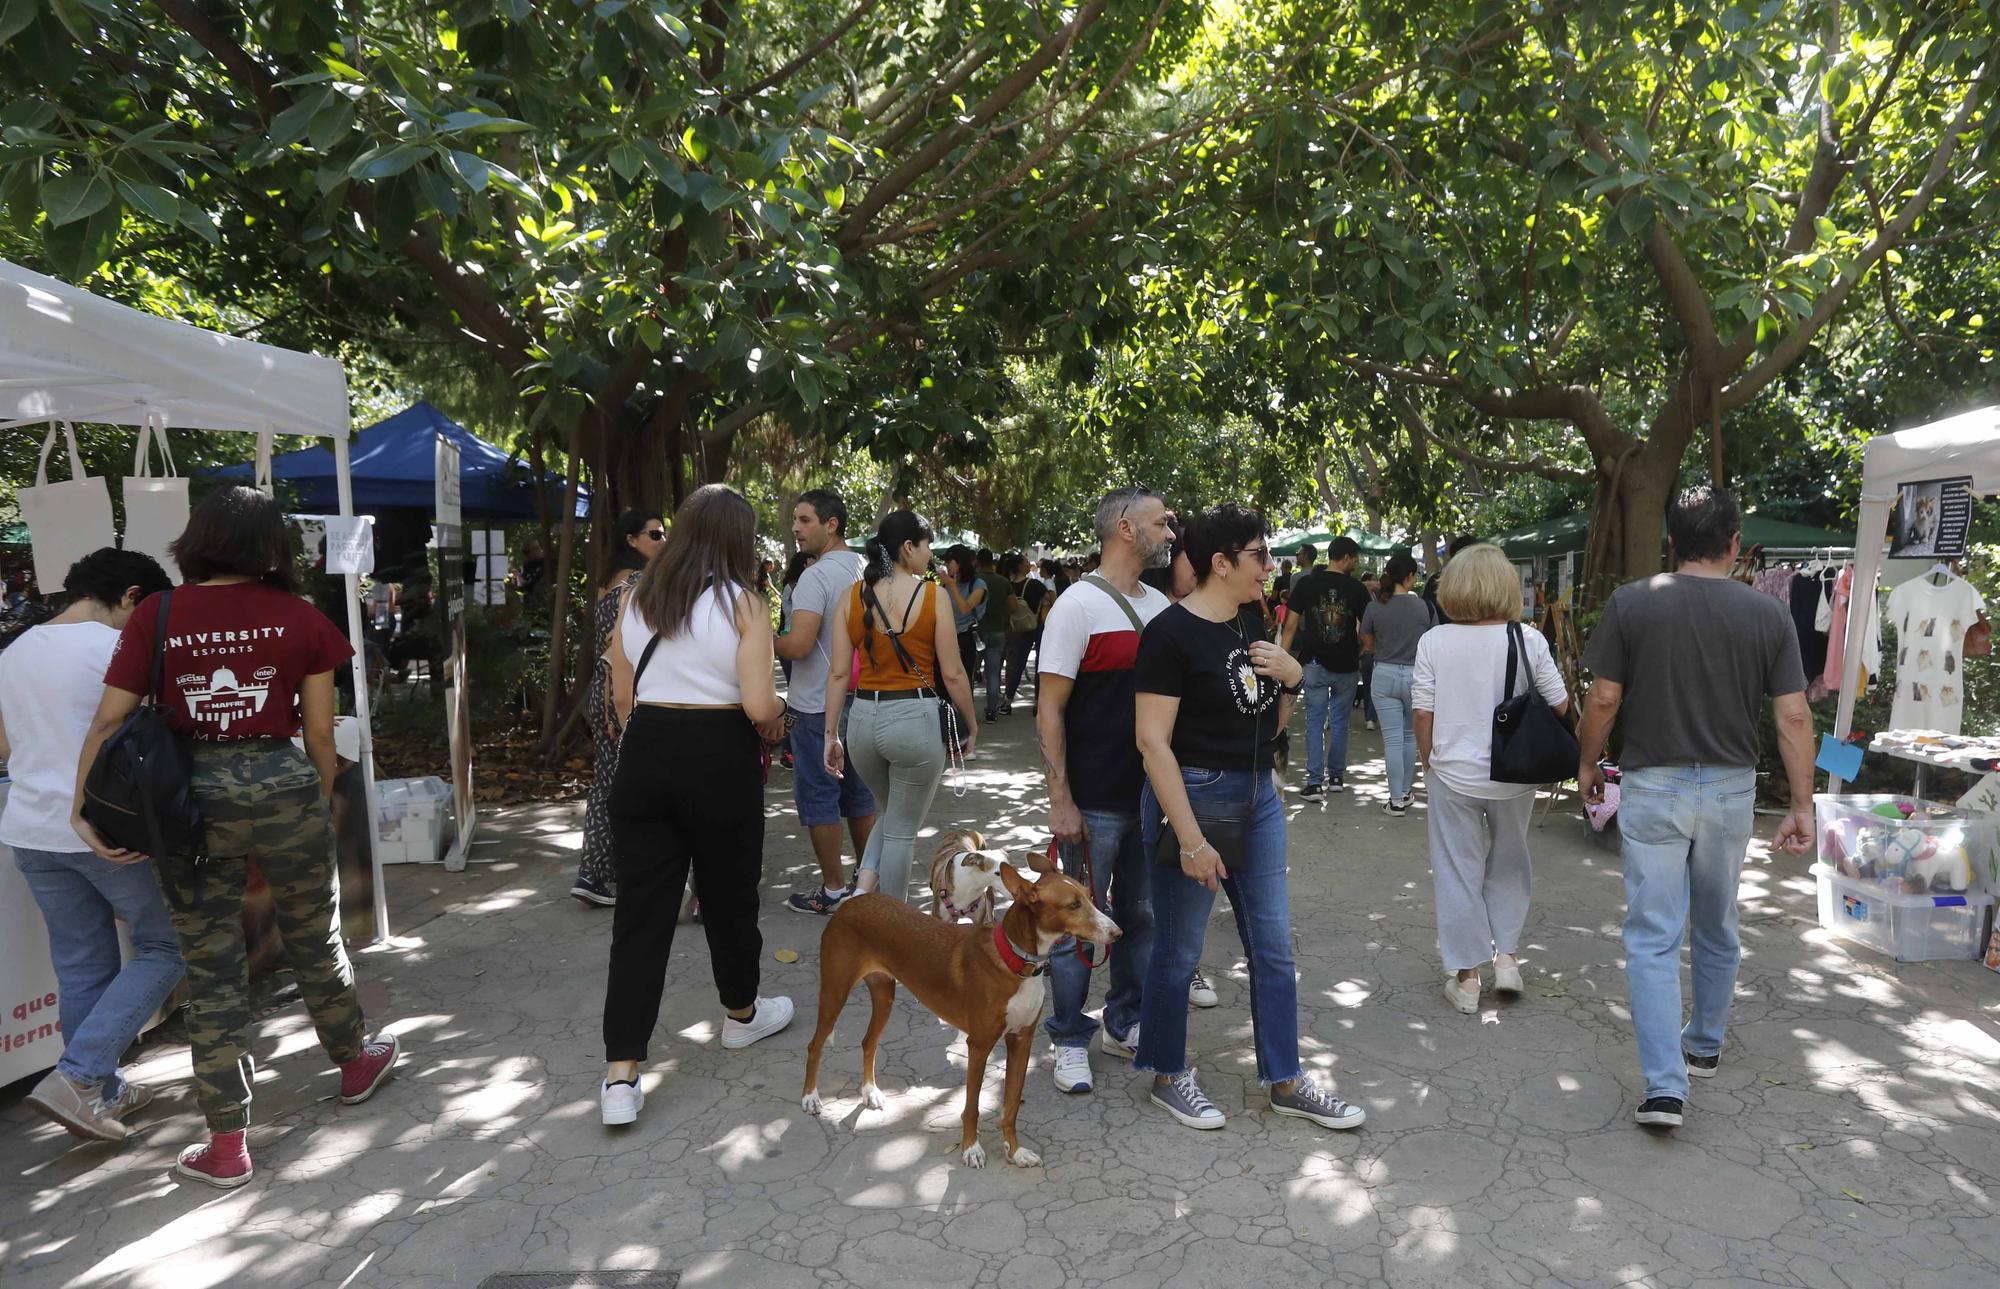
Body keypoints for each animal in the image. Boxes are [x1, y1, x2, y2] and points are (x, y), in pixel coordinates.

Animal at [800, 856, 1120, 1168]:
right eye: (1073, 905)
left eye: (1088, 895)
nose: (1118, 933)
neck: (1015, 962)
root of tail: (852, 903)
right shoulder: (978, 1045)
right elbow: (972, 1107)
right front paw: (971, 1149)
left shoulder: (1021, 1040)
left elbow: (1011, 1106)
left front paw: (1015, 1152)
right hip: (835, 992)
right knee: (815, 1044)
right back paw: (810, 1098)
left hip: (883, 995)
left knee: (869, 1042)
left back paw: (870, 1092)